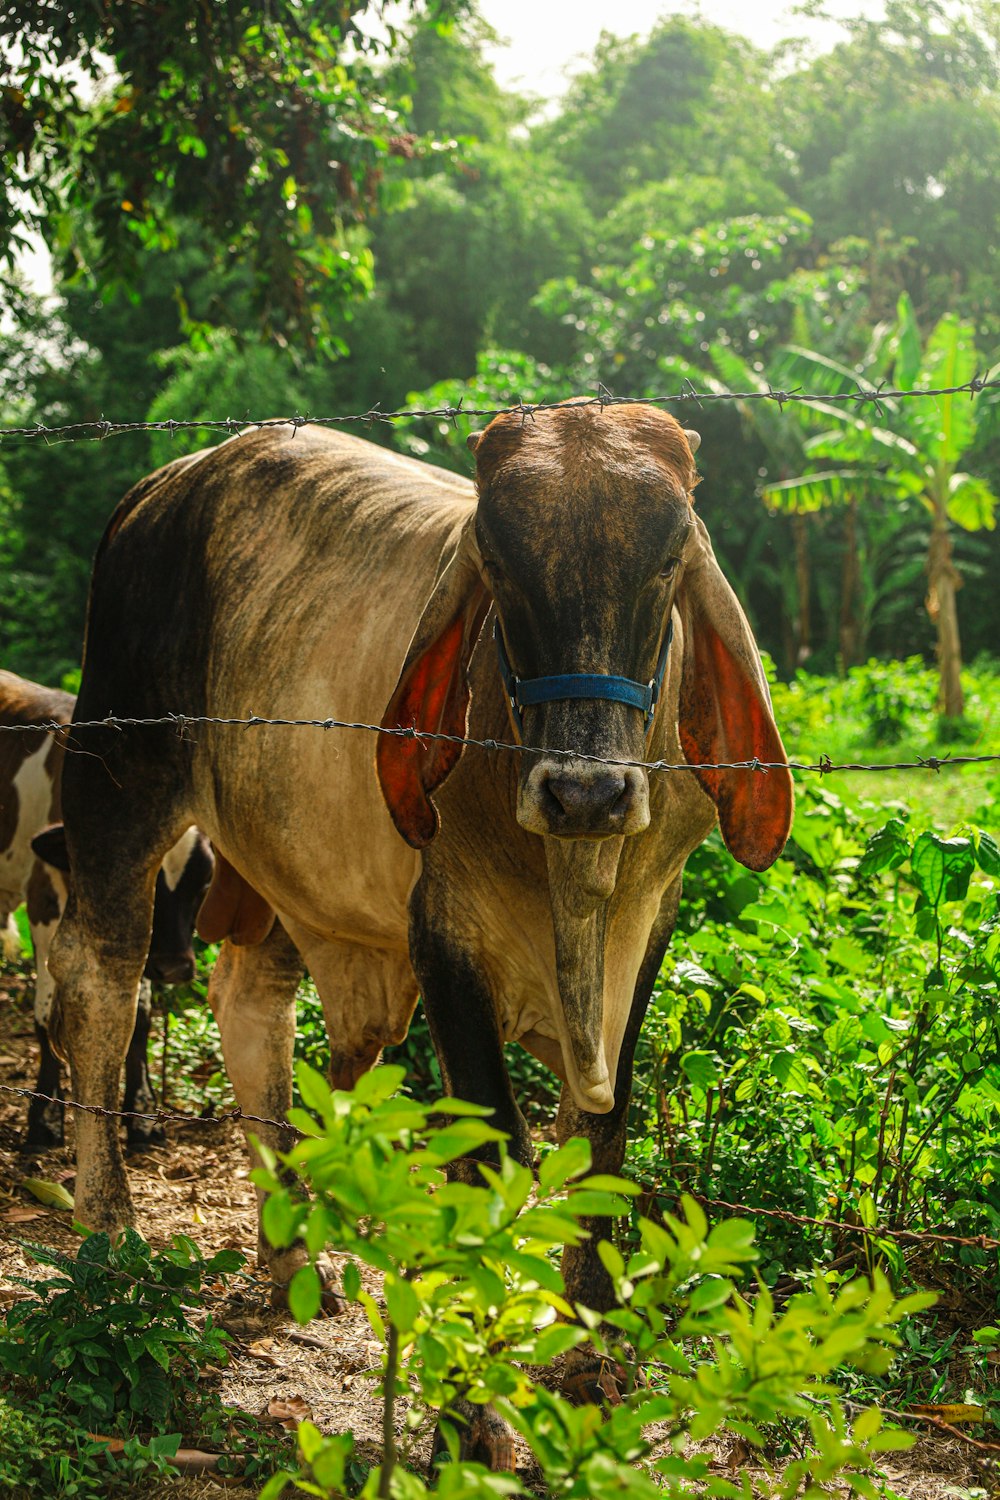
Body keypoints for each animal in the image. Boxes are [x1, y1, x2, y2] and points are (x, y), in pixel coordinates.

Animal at [0, 669, 215, 1146]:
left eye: (204, 883)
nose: (174, 966)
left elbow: (139, 1017)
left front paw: (143, 1113)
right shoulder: (43, 902)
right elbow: (46, 1011)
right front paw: (44, 1117)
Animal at [48, 408, 797, 1452]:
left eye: (666, 559)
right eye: (499, 564)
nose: (585, 794)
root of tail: (169, 482)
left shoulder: (650, 923)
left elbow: (602, 1135)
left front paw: (590, 1351)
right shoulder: (442, 931)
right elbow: (492, 1154)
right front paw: (472, 1414)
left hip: (296, 864)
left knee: (252, 1005)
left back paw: (290, 1258)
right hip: (120, 780)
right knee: (101, 981)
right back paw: (110, 1225)